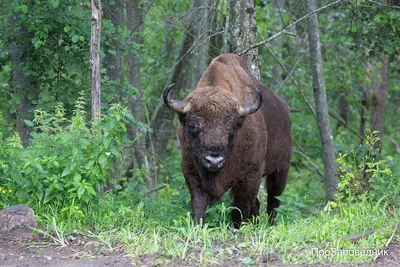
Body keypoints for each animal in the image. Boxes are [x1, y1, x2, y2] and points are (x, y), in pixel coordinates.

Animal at [162, 53, 290, 227]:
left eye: (233, 128)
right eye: (193, 125)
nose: (214, 161)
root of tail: (285, 108)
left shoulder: (250, 175)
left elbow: (240, 206)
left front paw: (240, 227)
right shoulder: (191, 171)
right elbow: (198, 204)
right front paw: (197, 225)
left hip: (281, 170)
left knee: (273, 201)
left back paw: (269, 225)